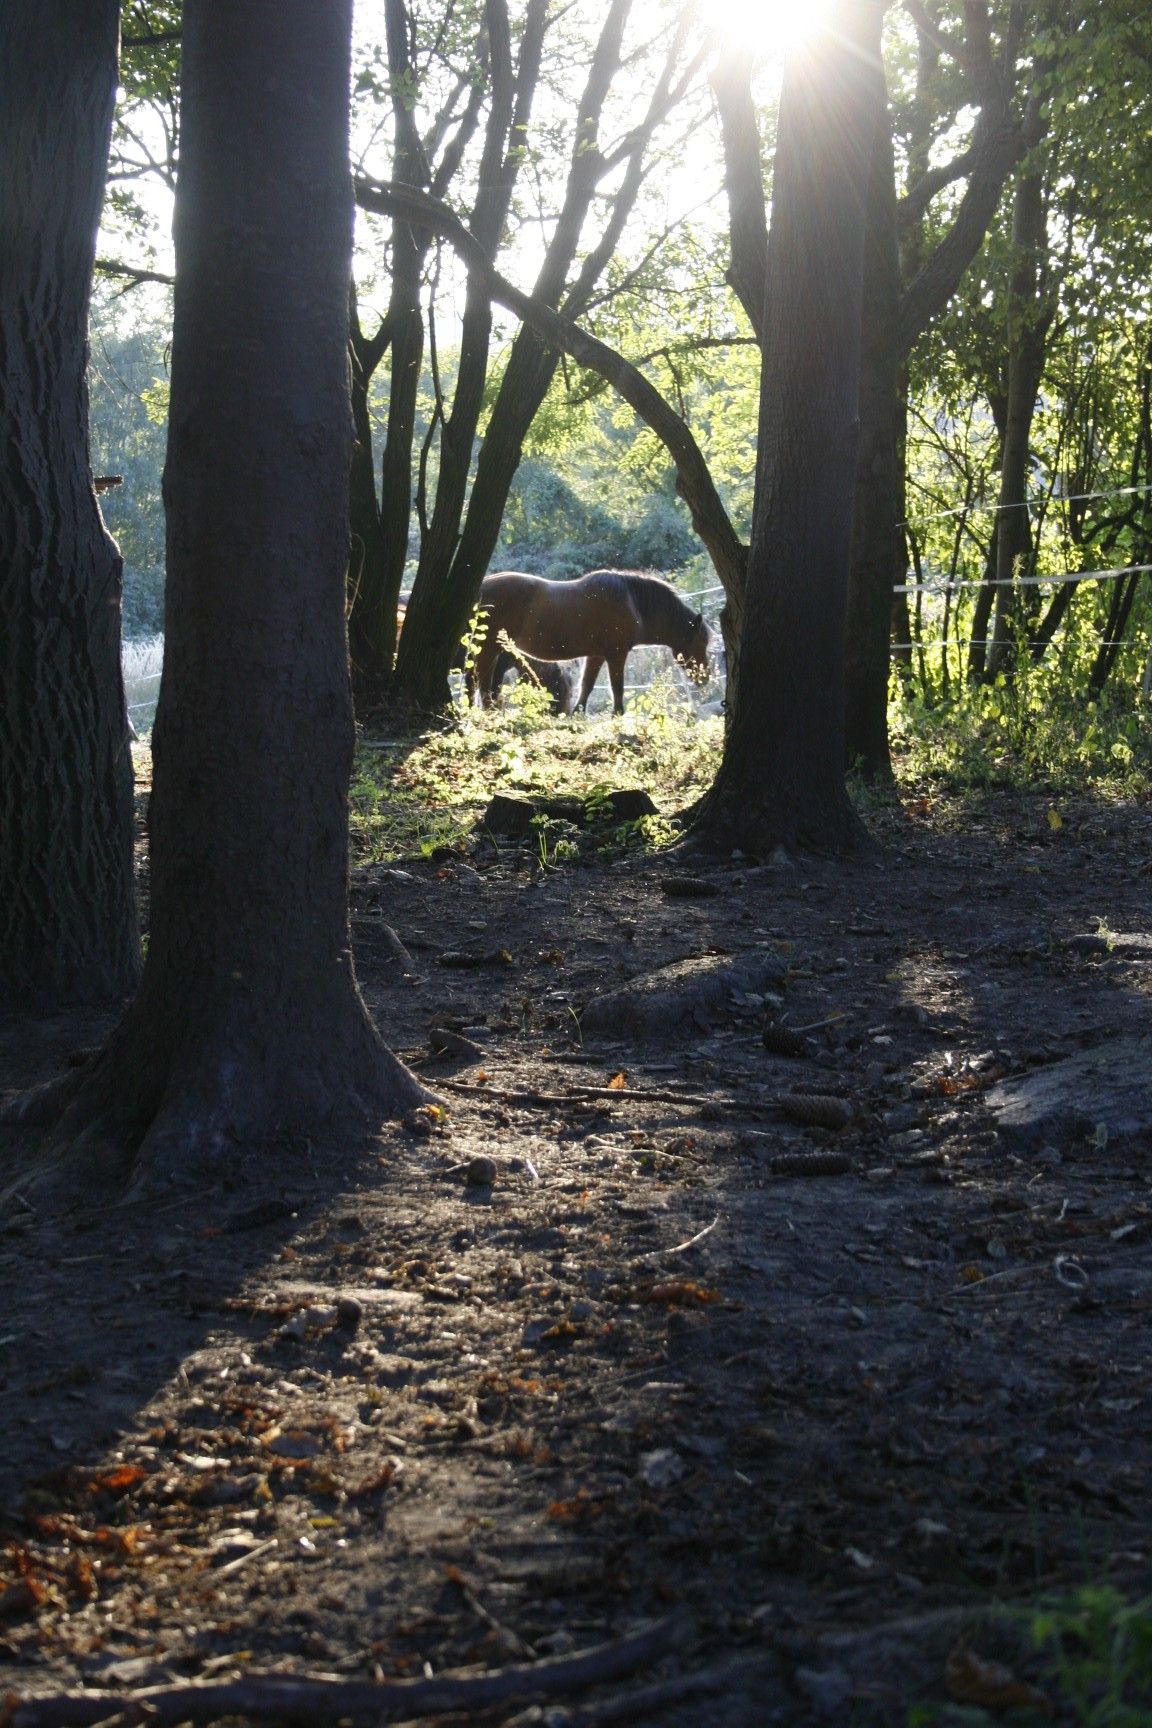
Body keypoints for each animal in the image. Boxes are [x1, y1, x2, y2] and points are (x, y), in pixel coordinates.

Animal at [471, 570, 712, 715]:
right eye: (701, 643)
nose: (704, 678)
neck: (631, 601)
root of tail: (482, 587)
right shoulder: (616, 654)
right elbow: (617, 687)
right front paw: (618, 715)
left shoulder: (596, 655)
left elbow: (587, 684)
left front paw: (577, 713)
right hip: (489, 647)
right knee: (481, 679)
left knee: (484, 680)